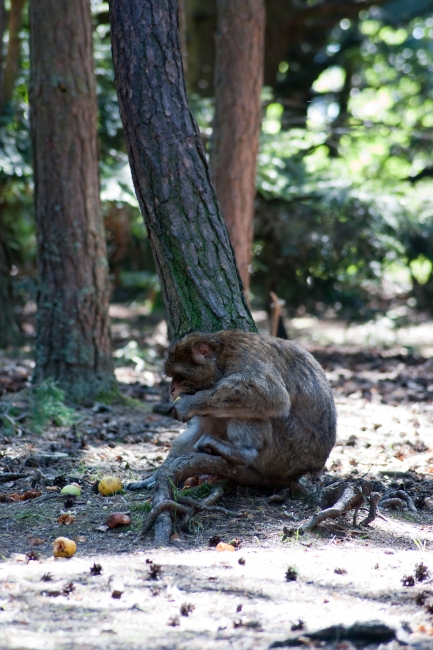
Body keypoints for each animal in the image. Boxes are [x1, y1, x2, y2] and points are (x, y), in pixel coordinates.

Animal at [126, 326, 336, 488]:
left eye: (179, 377)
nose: (171, 389)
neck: (221, 358)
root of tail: (314, 466)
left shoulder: (242, 359)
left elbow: (272, 395)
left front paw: (188, 404)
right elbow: (203, 425)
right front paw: (157, 475)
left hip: (287, 453)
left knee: (258, 408)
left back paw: (242, 452)